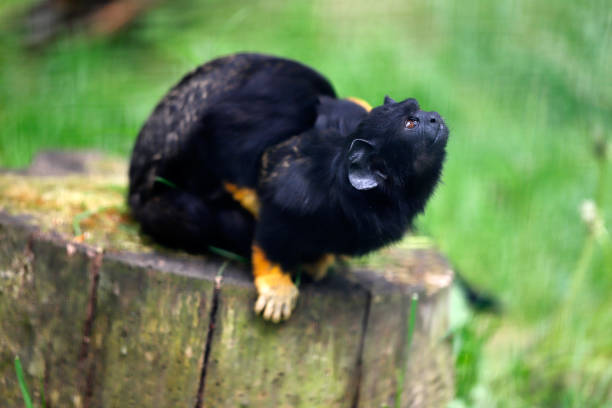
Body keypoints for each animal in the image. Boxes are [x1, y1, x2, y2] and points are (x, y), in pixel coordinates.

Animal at [128, 53, 450, 322]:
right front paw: (275, 281)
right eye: (411, 123)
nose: (435, 117)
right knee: (194, 211)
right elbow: (264, 191)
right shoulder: (301, 183)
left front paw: (317, 258)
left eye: (421, 112)